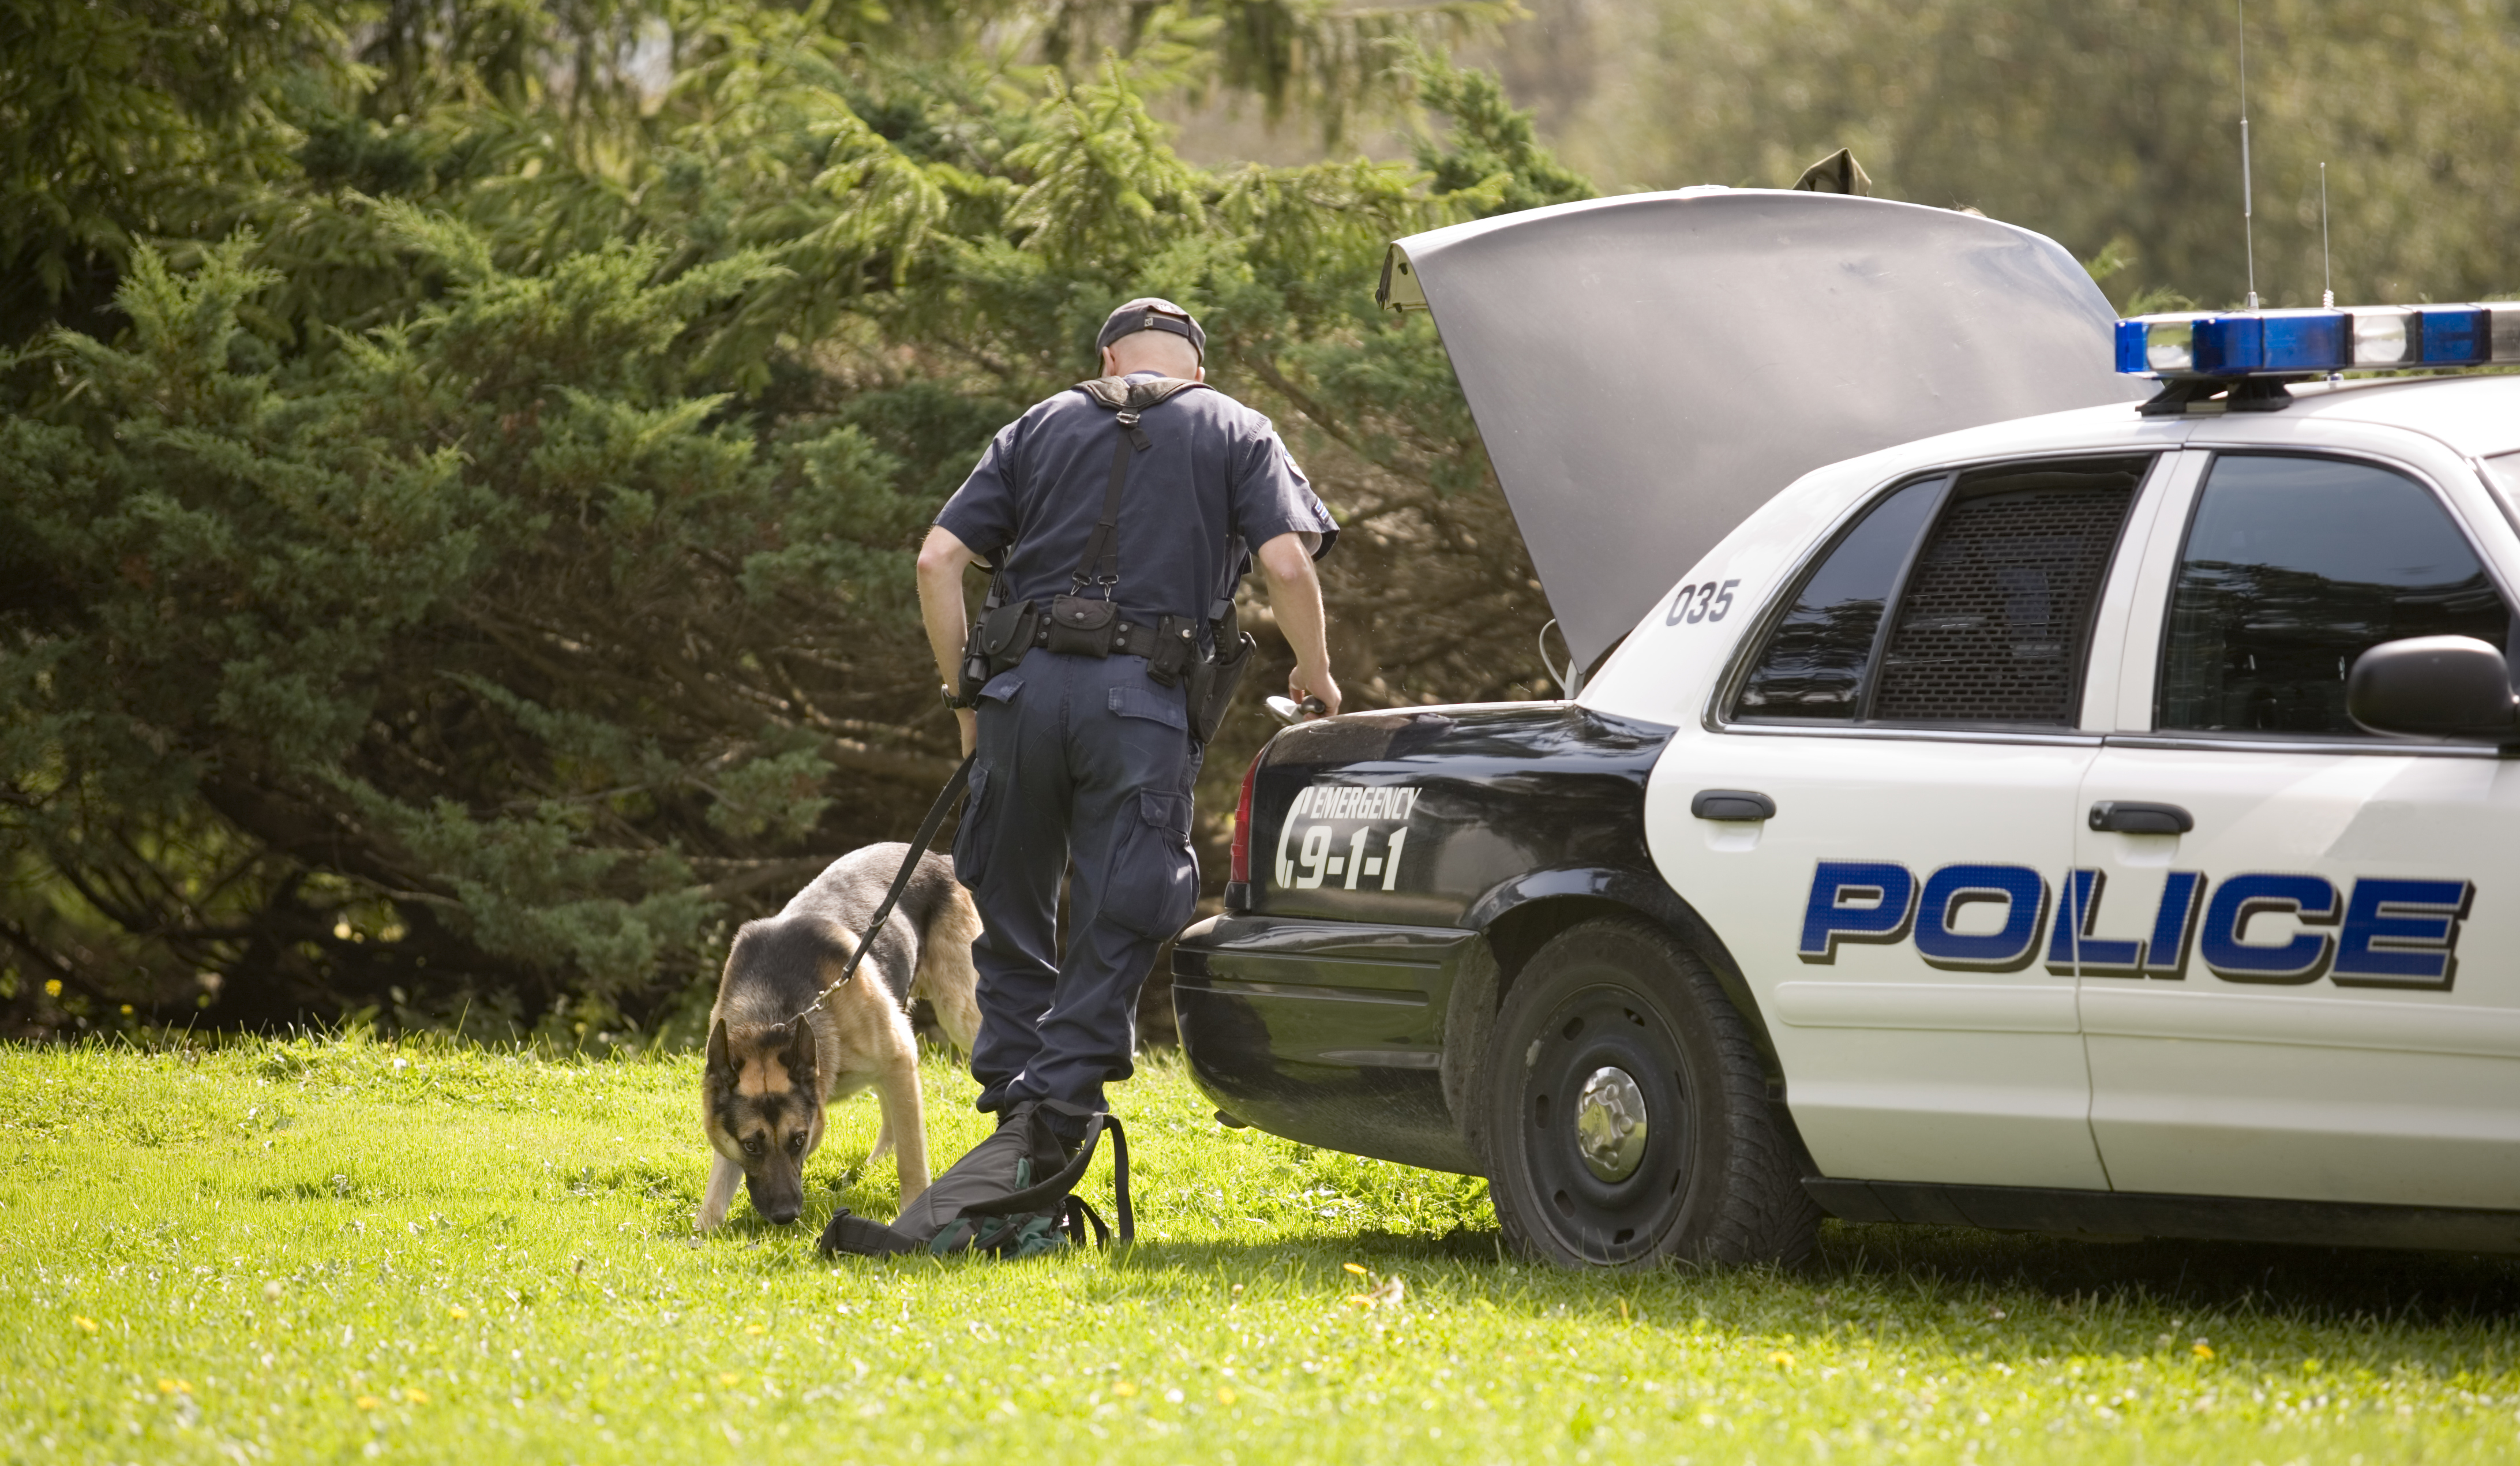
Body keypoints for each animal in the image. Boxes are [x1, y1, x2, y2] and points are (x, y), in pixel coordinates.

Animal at [706, 846, 988, 1234]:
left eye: (799, 1139)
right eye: (750, 1146)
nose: (786, 1216)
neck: (773, 1021)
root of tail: (939, 857)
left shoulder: (899, 1056)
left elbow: (911, 1156)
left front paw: (913, 1212)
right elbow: (718, 1185)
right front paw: (703, 1231)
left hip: (959, 1012)